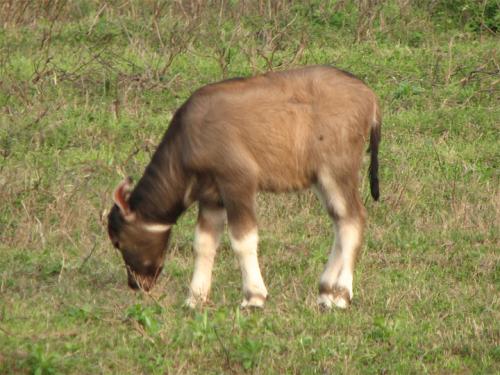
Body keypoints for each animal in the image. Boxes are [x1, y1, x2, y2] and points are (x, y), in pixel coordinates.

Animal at [107, 66, 380, 310]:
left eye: (118, 241)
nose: (136, 284)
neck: (187, 144)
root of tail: (369, 96)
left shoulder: (238, 183)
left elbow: (242, 239)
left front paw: (254, 297)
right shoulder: (211, 197)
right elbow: (203, 243)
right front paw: (195, 298)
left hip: (336, 171)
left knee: (353, 219)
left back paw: (341, 295)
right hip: (322, 179)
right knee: (340, 221)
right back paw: (325, 292)